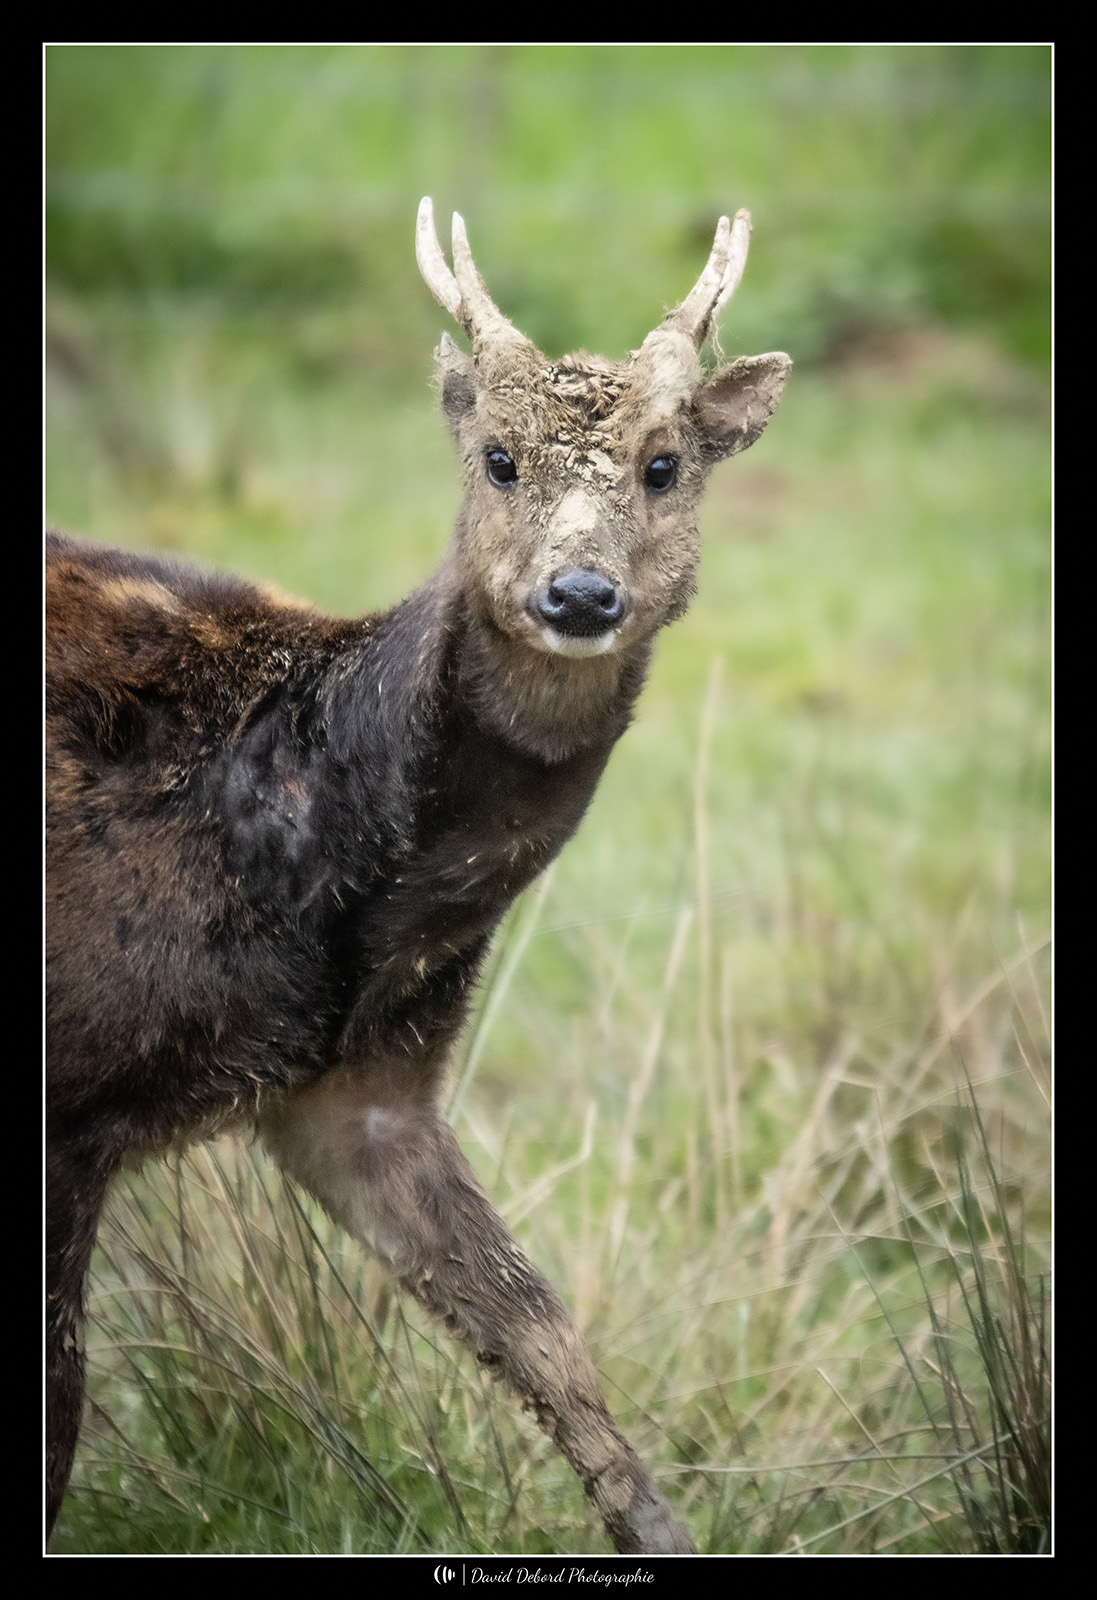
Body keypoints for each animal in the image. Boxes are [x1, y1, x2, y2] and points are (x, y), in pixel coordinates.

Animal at [46, 196, 790, 1554]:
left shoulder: (361, 1088)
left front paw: (663, 1529)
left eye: (662, 463)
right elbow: (60, 1422)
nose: (580, 594)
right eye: (496, 458)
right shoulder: (67, 1093)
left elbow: (547, 1341)